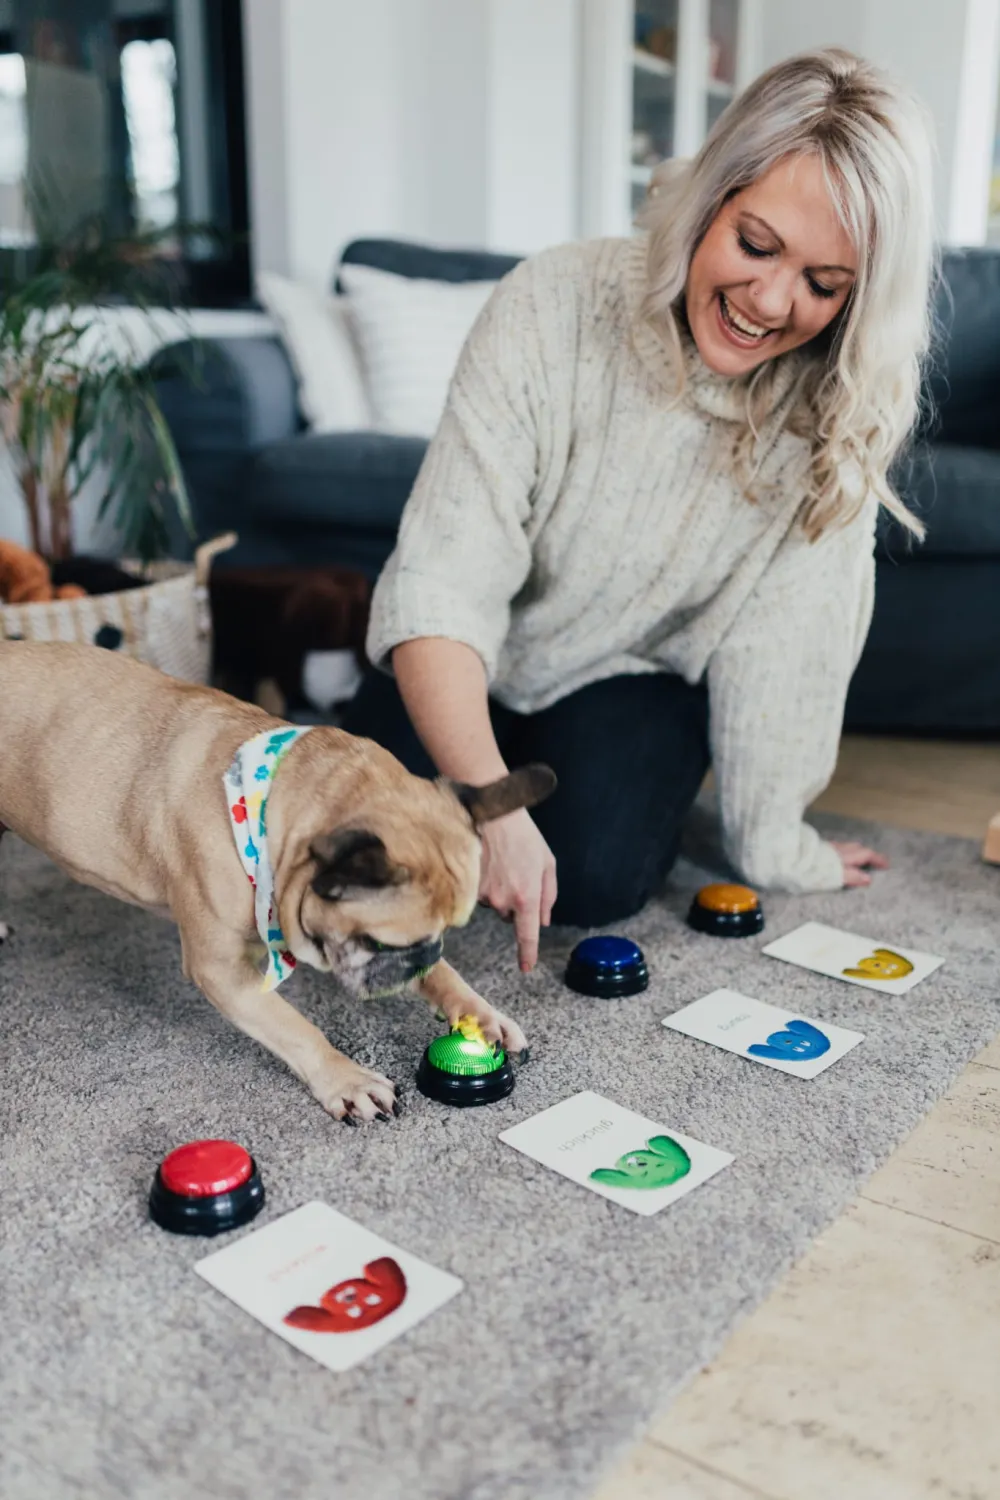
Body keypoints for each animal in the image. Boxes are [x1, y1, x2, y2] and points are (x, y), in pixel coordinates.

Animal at [0, 639, 554, 1122]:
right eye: (379, 942)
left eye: (443, 936)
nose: (423, 956)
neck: (270, 819)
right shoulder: (223, 972)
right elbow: (296, 1027)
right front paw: (347, 1080)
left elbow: (447, 978)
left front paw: (480, 1013)